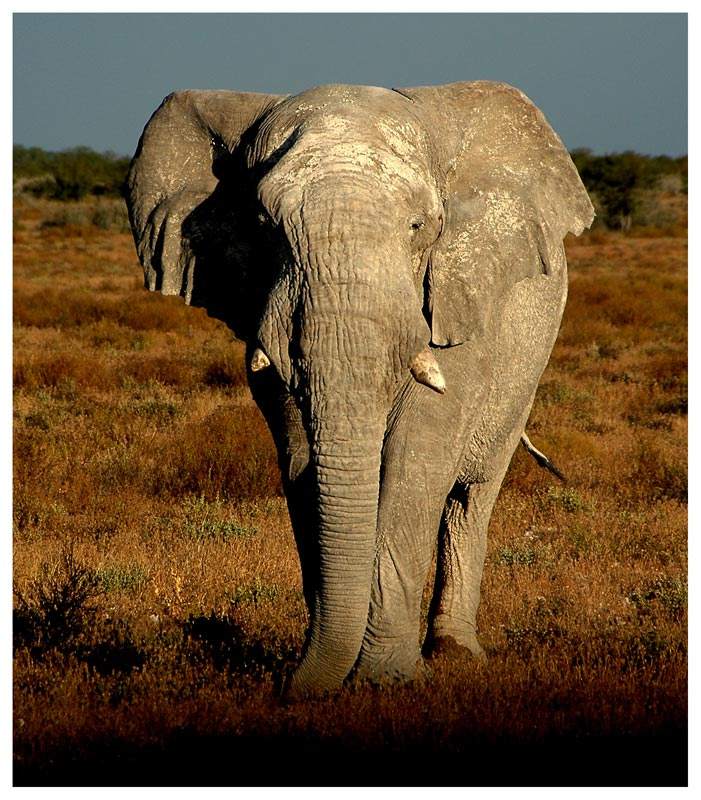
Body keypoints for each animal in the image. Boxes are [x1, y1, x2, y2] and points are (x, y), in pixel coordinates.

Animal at [126, 81, 594, 700]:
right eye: (264, 225)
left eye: (420, 227)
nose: (283, 687)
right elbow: (302, 464)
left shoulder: (455, 303)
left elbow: (413, 465)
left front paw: (385, 677)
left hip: (527, 365)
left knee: (471, 498)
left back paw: (455, 652)